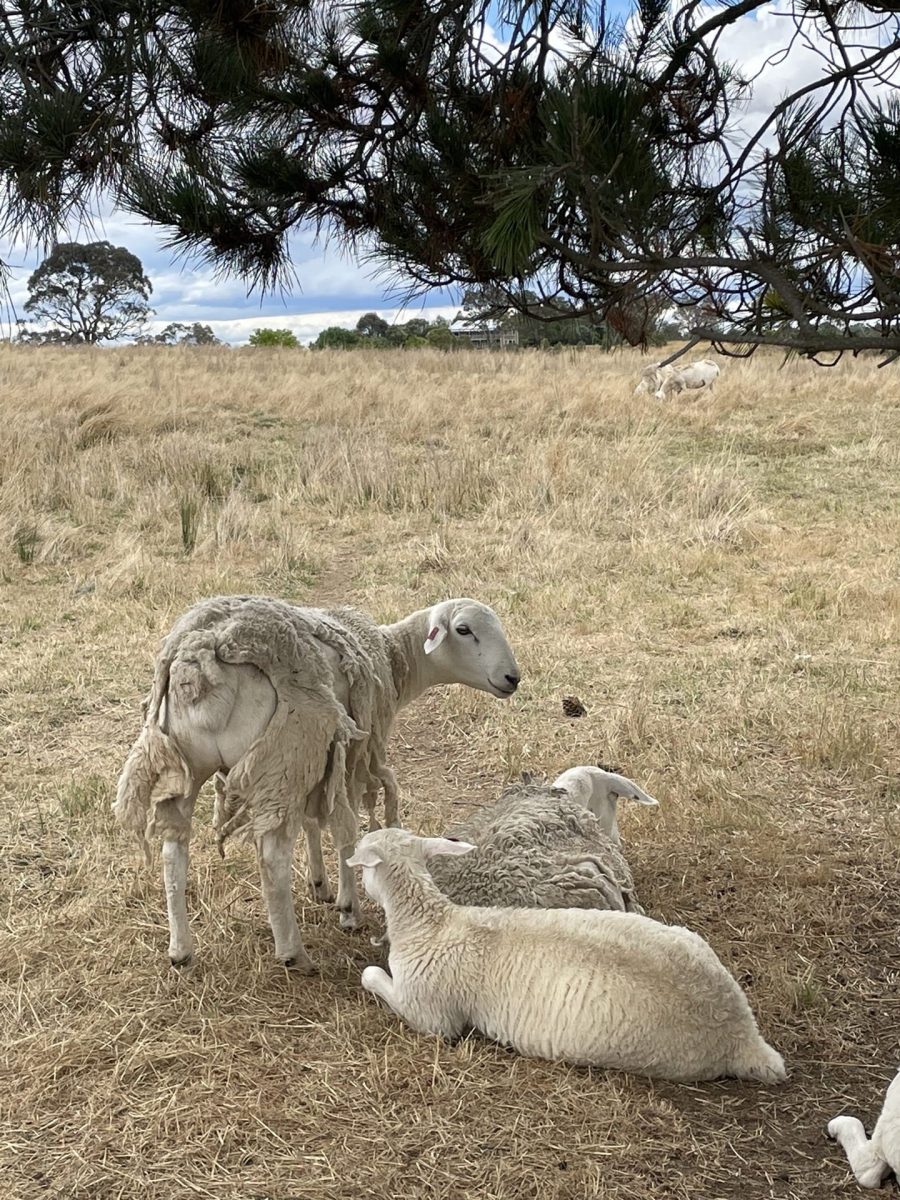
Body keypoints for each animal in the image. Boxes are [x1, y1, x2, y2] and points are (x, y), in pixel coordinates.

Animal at [113, 595, 520, 969]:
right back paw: (293, 953)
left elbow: (311, 821)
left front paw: (320, 883)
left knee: (173, 851)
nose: (513, 678)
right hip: (287, 751)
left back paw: (180, 950)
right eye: (464, 630)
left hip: (191, 762)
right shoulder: (352, 754)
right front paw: (348, 907)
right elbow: (346, 830)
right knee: (273, 856)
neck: (393, 657)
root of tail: (202, 652)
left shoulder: (321, 757)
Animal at [348, 830, 787, 1084]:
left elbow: (373, 976)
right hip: (689, 940)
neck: (432, 922)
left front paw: (369, 972)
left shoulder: (431, 1014)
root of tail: (741, 1033)